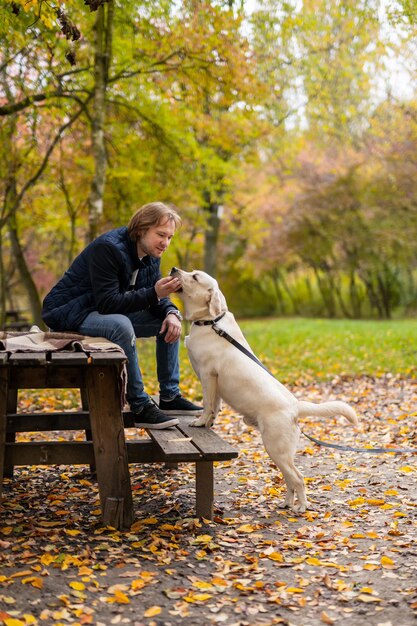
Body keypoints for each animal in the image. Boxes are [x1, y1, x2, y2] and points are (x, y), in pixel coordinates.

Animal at [171, 266, 356, 510]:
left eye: (194, 276)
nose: (173, 269)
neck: (211, 322)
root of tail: (295, 406)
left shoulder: (208, 375)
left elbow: (207, 403)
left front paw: (200, 422)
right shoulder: (214, 382)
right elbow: (215, 406)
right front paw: (209, 423)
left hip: (275, 446)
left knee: (298, 478)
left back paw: (301, 507)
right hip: (280, 451)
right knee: (289, 479)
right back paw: (286, 503)